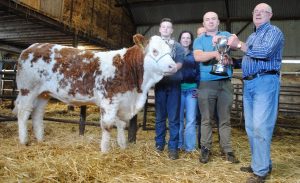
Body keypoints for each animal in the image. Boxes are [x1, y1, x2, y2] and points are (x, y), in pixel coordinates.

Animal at [14, 33, 177, 152]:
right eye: (155, 51)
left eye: (170, 52)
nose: (173, 66)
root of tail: (30, 48)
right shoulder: (109, 100)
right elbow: (107, 125)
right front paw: (105, 150)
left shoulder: (122, 102)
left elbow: (121, 124)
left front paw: (122, 146)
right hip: (28, 90)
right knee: (23, 113)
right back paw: (23, 140)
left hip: (43, 93)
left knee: (37, 114)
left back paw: (40, 139)